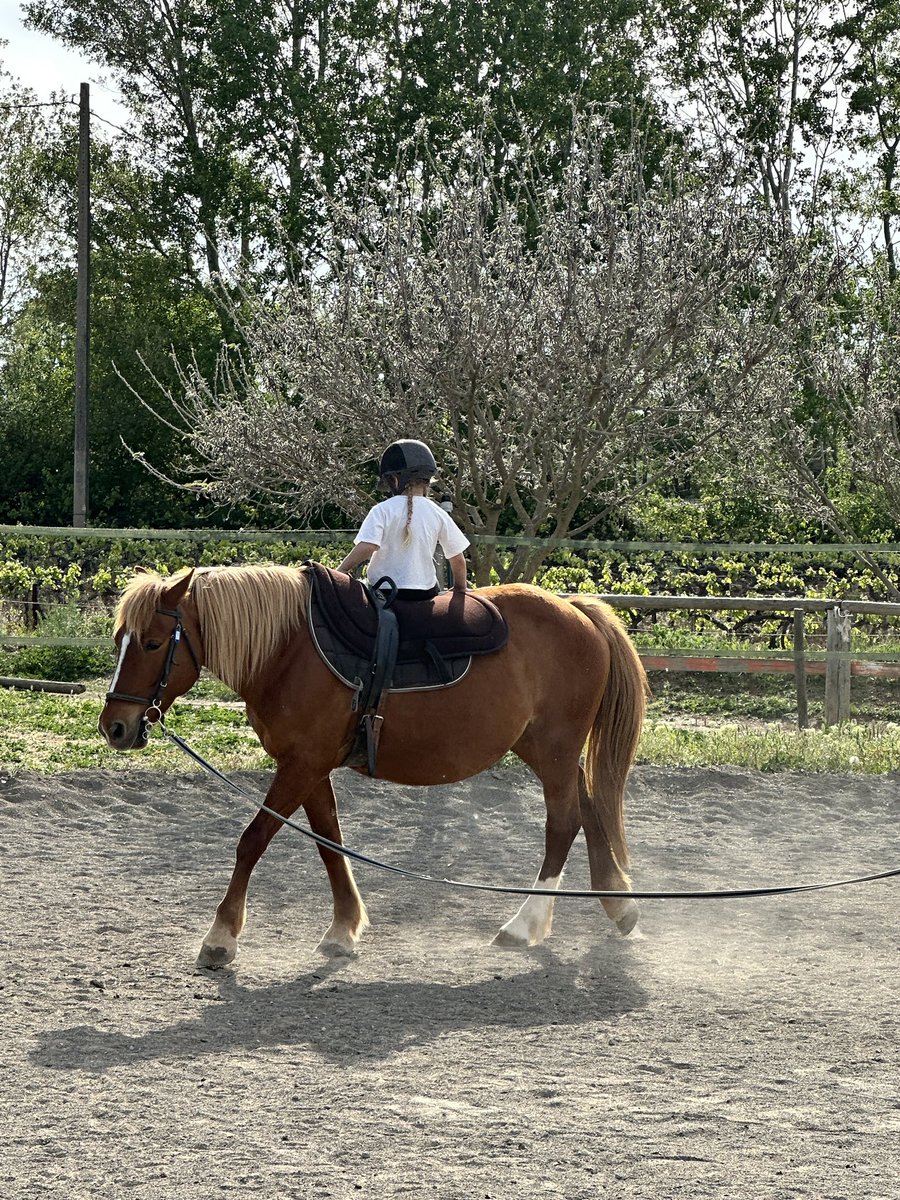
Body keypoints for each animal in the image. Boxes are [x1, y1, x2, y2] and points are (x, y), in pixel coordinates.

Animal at [98, 564, 648, 965]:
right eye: (118, 638)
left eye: (152, 642)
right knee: (589, 810)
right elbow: (329, 842)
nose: (114, 727)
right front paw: (343, 928)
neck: (289, 649)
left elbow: (253, 840)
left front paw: (221, 936)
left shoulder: (301, 764)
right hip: (544, 749)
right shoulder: (310, 766)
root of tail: (575, 610)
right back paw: (619, 905)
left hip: (555, 749)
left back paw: (524, 924)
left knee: (564, 824)